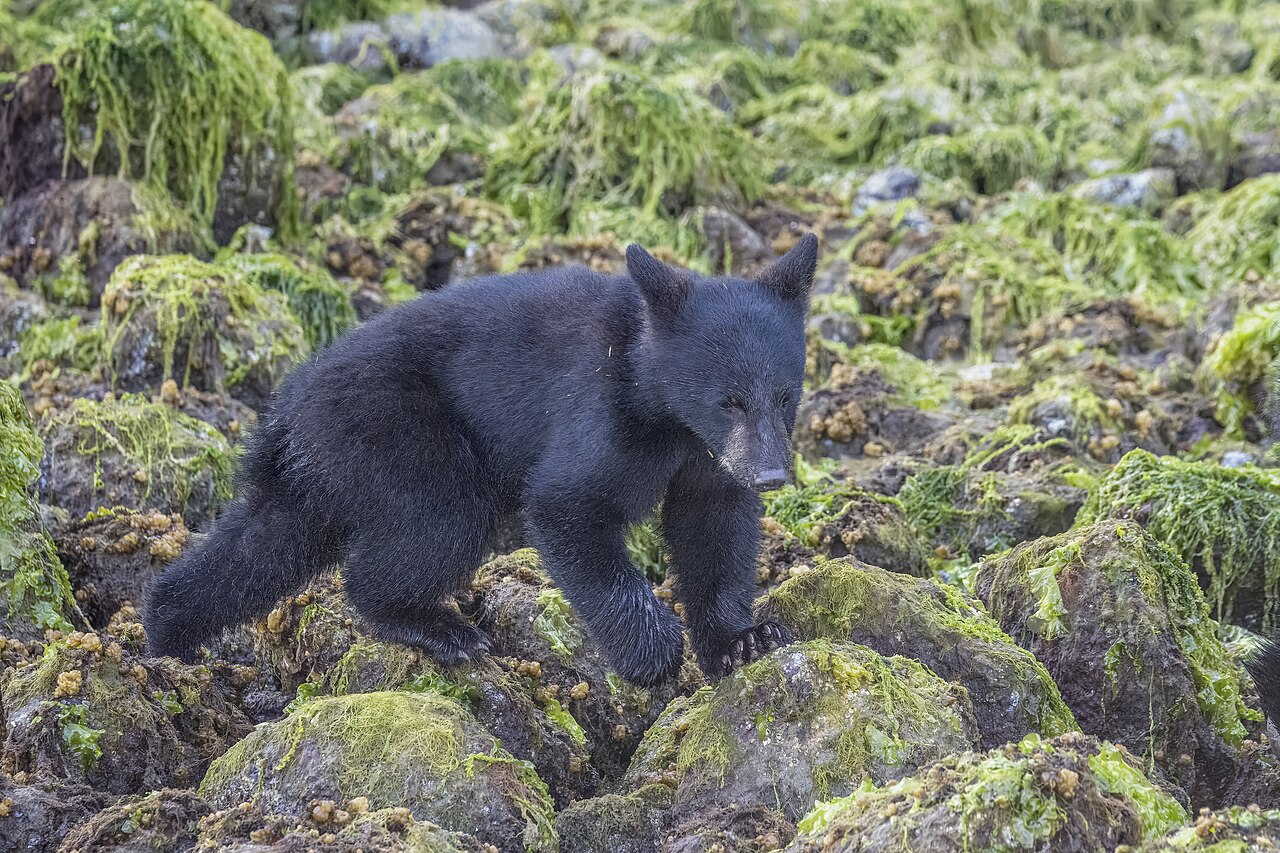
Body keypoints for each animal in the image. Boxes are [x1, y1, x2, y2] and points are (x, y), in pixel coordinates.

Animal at [142, 234, 819, 685]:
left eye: (785, 394)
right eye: (729, 398)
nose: (770, 474)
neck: (667, 411)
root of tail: (286, 406)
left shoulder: (708, 460)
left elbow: (714, 527)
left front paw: (742, 640)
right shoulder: (603, 414)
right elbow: (567, 506)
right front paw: (651, 654)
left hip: (326, 464)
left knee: (268, 538)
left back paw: (167, 628)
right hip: (396, 427)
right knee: (436, 520)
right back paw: (439, 628)